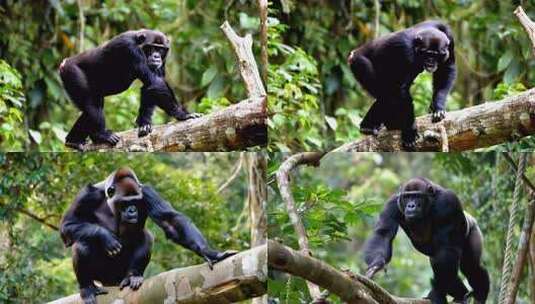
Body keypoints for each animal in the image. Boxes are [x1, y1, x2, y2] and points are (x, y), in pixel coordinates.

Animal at [59, 29, 201, 151]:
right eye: (152, 47)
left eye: (161, 49)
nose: (156, 56)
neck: (139, 42)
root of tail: (64, 63)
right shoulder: (129, 49)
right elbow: (155, 83)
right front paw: (183, 114)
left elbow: (150, 87)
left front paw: (144, 123)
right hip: (72, 73)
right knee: (93, 104)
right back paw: (101, 135)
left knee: (91, 107)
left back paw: (74, 141)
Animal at [59, 167, 236, 302]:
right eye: (125, 202)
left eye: (135, 202)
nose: (132, 211)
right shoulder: (87, 194)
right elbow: (68, 225)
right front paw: (104, 236)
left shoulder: (146, 191)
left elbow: (170, 220)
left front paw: (209, 252)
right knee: (82, 243)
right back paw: (87, 288)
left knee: (146, 237)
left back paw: (134, 275)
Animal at [348, 20, 456, 150]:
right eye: (428, 54)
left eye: (437, 55)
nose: (431, 62)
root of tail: (353, 54)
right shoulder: (404, 50)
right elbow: (400, 89)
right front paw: (410, 130)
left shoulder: (450, 37)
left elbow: (447, 68)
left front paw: (438, 108)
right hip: (360, 64)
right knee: (387, 94)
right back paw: (384, 125)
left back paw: (370, 126)